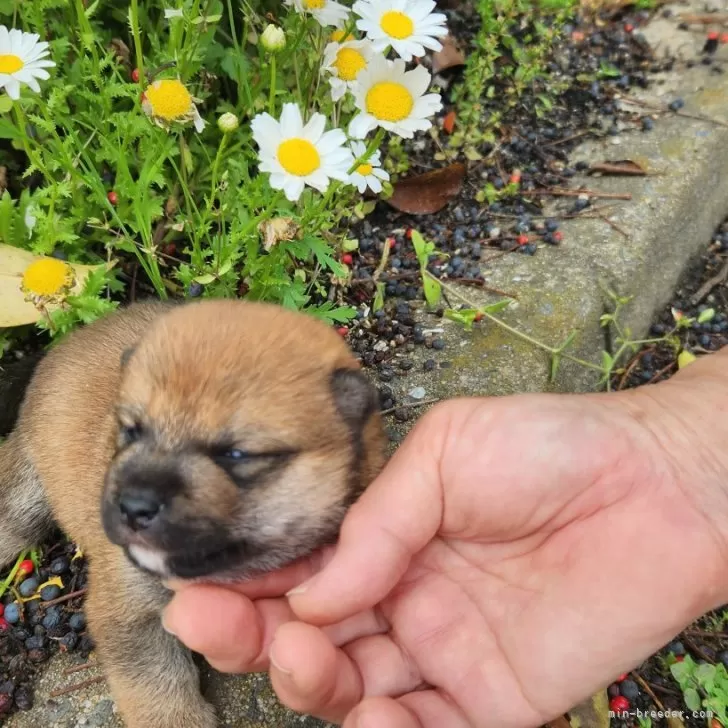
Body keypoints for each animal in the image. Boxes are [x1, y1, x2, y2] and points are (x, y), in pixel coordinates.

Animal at [0, 298, 386, 728]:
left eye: (236, 454)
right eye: (132, 431)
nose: (133, 506)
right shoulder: (128, 612)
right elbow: (156, 686)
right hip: (21, 501)